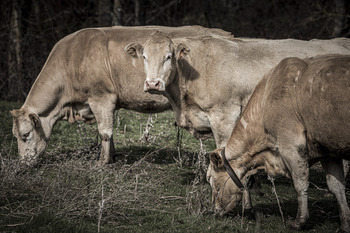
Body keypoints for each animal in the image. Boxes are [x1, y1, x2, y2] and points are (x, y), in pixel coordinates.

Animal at [10, 25, 232, 166]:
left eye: (26, 134)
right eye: (16, 136)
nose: (23, 163)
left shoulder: (101, 97)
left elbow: (104, 132)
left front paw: (103, 162)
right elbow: (110, 132)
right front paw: (113, 155)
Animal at [206, 55, 350, 232]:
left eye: (211, 178)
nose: (214, 210)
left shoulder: (291, 144)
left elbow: (300, 183)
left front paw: (299, 221)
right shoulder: (328, 151)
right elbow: (337, 186)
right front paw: (345, 224)